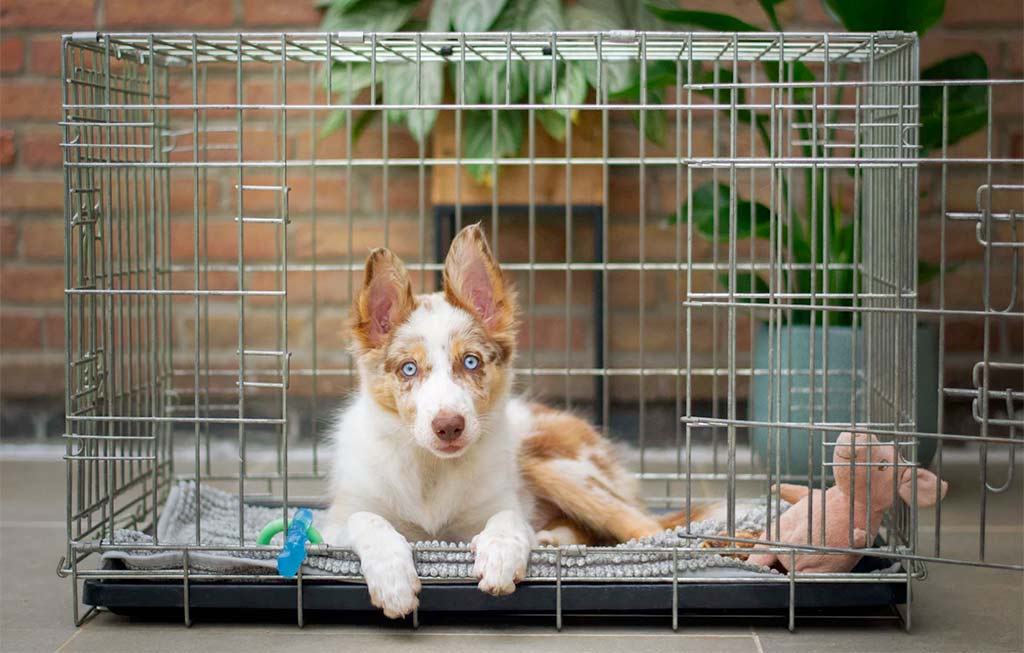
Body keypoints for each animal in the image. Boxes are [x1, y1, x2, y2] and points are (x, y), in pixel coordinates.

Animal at [327, 224, 696, 618]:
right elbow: (368, 520)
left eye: (470, 362)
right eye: (408, 369)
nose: (449, 426)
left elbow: (508, 518)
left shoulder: (499, 502)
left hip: (554, 465)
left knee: (644, 526)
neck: (432, 471)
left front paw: (499, 556)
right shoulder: (336, 520)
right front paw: (392, 578)